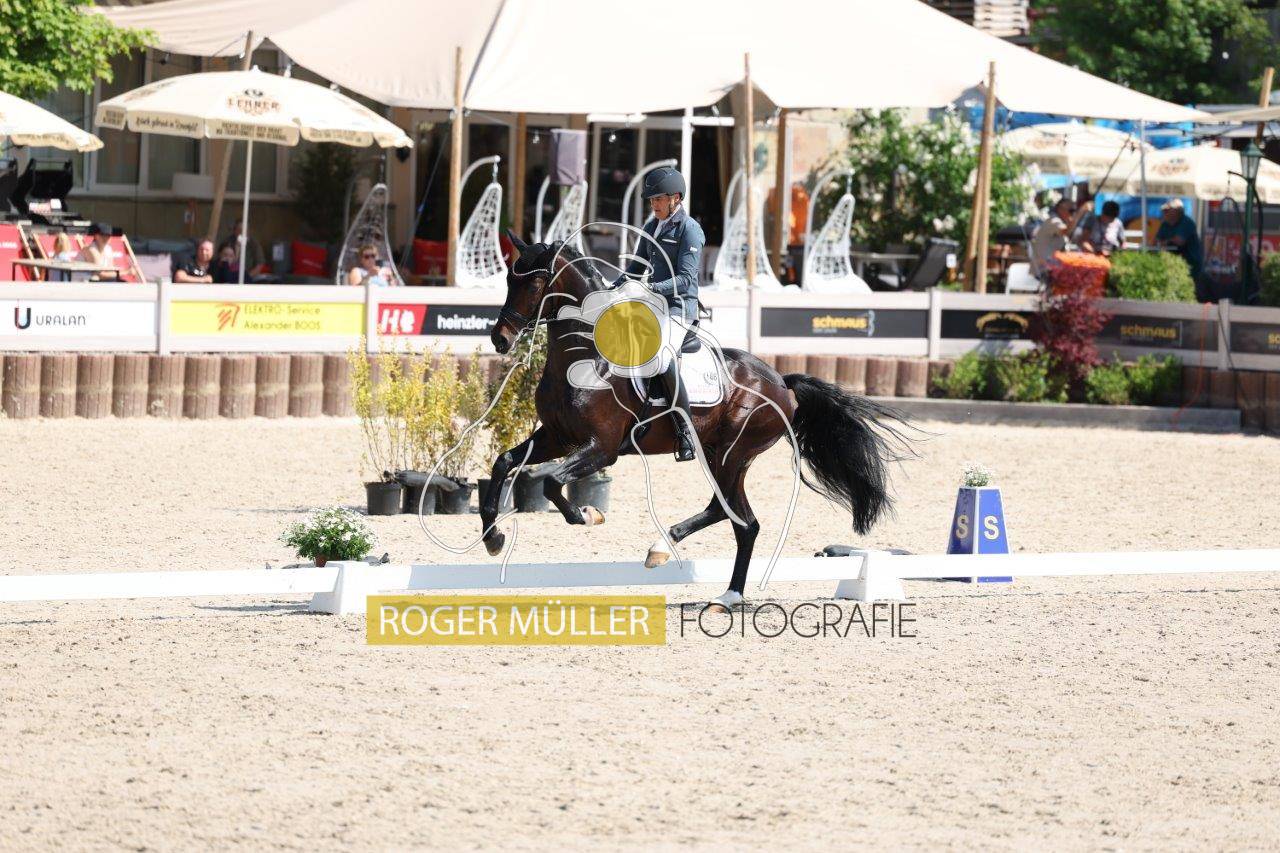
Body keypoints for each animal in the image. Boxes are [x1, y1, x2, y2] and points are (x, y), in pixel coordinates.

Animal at [480, 235, 913, 606]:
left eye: (535, 281)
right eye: (508, 278)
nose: (500, 339)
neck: (586, 357)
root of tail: (780, 382)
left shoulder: (601, 450)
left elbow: (552, 482)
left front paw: (587, 515)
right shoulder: (556, 437)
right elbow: (504, 462)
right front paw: (493, 537)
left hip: (731, 453)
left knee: (733, 514)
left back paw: (671, 554)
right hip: (720, 453)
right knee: (740, 520)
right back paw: (723, 592)